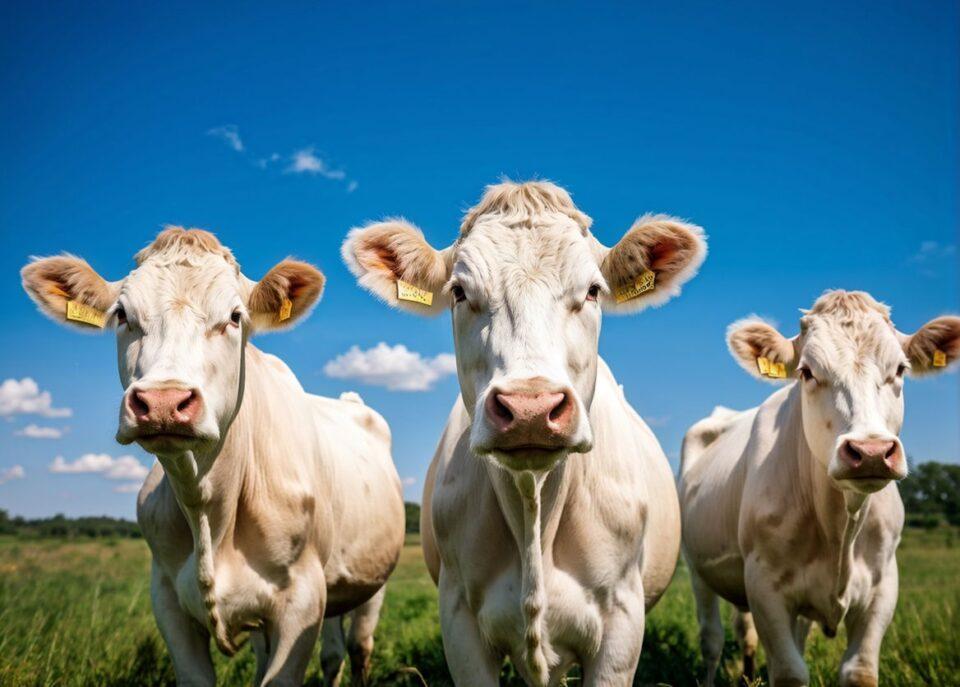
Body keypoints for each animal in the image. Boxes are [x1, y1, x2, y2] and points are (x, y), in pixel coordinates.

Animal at [21, 227, 406, 686]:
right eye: (122, 315)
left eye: (235, 317)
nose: (163, 402)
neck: (207, 507)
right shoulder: (167, 600)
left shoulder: (301, 599)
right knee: (329, 654)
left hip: (371, 582)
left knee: (358, 646)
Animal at [341, 181, 706, 685]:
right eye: (459, 291)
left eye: (593, 290)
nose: (530, 408)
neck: (534, 512)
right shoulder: (460, 624)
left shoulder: (622, 626)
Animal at [679, 290, 960, 687]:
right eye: (806, 372)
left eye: (900, 370)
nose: (871, 452)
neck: (840, 525)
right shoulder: (764, 585)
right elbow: (790, 671)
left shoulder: (882, 587)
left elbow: (859, 670)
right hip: (695, 567)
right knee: (712, 639)